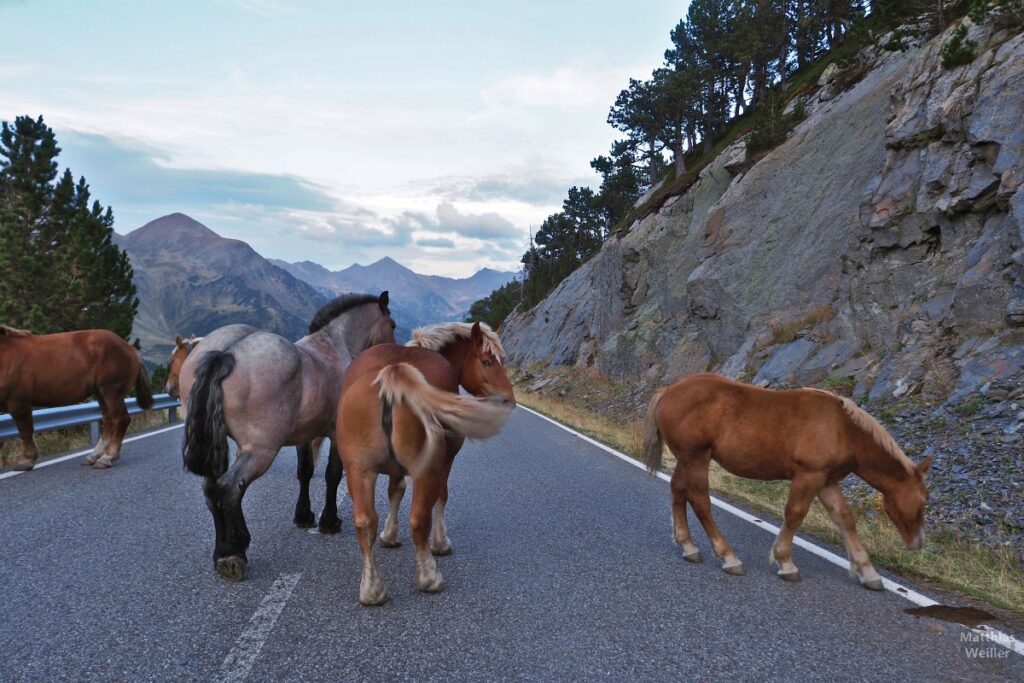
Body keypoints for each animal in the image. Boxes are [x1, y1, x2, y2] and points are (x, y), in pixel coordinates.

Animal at [0, 325, 153, 471]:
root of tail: (130, 348)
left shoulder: (18, 403)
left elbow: (25, 432)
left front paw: (27, 460)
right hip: (100, 393)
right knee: (109, 420)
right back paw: (94, 456)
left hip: (112, 392)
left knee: (120, 419)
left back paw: (107, 457)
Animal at [180, 290, 395, 581]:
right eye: (392, 325)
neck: (332, 346)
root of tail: (226, 354)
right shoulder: (335, 433)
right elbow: (333, 474)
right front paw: (329, 520)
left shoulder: (305, 435)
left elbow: (305, 472)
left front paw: (304, 516)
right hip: (260, 450)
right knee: (230, 487)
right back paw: (233, 552)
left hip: (223, 446)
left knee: (213, 489)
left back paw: (222, 552)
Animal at [335, 321, 516, 602]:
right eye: (487, 361)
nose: (509, 399)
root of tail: (394, 372)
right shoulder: (445, 462)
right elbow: (442, 496)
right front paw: (441, 543)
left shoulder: (394, 469)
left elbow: (395, 491)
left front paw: (389, 535)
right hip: (427, 471)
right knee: (419, 519)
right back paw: (429, 577)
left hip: (359, 470)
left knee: (365, 521)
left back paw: (373, 589)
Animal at [643, 370, 933, 589]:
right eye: (923, 500)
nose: (918, 542)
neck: (844, 429)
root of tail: (669, 390)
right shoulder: (809, 476)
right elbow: (795, 514)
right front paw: (785, 562)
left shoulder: (826, 481)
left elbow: (844, 518)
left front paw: (867, 571)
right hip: (696, 460)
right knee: (701, 501)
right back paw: (729, 557)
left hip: (687, 460)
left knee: (678, 492)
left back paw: (688, 546)